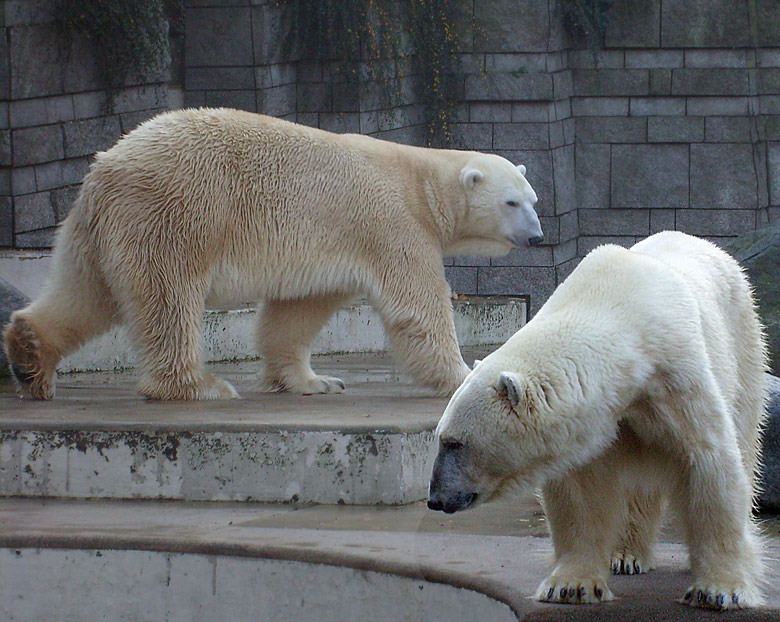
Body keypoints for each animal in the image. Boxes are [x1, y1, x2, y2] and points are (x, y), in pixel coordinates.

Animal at [3, 108, 544, 402]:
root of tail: (106, 166)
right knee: (168, 296)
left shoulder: (334, 245)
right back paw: (200, 385)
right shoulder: (392, 224)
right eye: (511, 203)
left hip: (99, 226)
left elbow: (297, 312)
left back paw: (30, 357)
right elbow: (418, 306)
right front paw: (466, 374)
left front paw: (315, 381)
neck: (421, 182)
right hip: (176, 208)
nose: (538, 237)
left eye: (533, 199)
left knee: (84, 293)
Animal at [426, 232, 768, 612]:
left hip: (742, 339)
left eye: (454, 442)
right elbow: (580, 492)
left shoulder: (674, 376)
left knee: (744, 434)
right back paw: (625, 555)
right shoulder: (596, 422)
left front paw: (719, 590)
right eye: (443, 438)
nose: (436, 498)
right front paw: (571, 585)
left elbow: (707, 463)